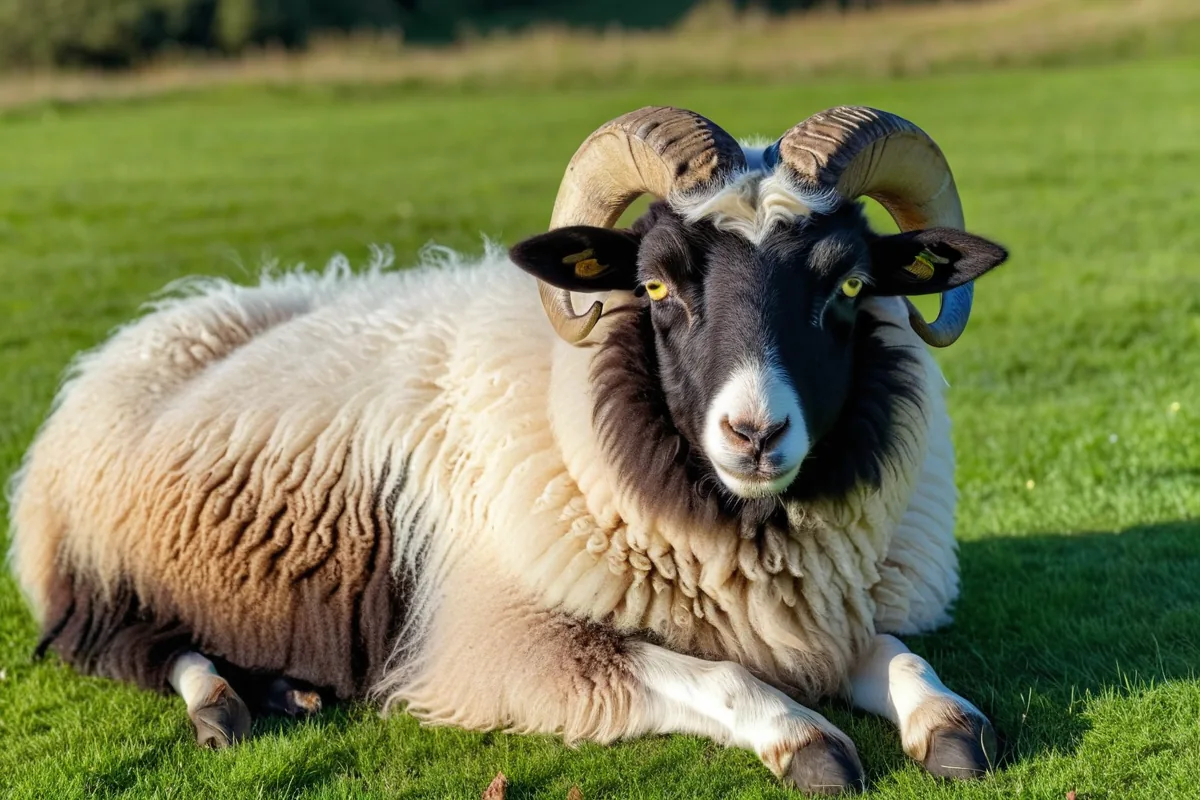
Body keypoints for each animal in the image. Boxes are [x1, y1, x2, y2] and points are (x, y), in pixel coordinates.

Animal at [8, 105, 1009, 794]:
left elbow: (897, 655)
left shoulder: (818, 617)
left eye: (849, 286)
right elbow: (708, 674)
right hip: (101, 581)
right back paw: (222, 704)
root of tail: (158, 324)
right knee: (133, 649)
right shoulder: (497, 651)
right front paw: (804, 741)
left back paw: (287, 691)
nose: (755, 433)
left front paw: (947, 723)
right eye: (655, 284)